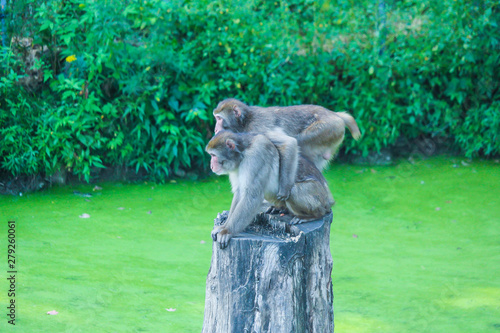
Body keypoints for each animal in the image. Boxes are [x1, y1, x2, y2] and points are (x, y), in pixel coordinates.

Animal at [205, 130, 334, 249]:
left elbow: (252, 196)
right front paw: (223, 226)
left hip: (318, 195)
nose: (211, 165)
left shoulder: (256, 155)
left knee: (293, 192)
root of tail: (329, 199)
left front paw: (228, 231)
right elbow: (240, 193)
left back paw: (314, 215)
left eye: (213, 155)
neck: (242, 154)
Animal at [213, 97, 362, 183]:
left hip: (328, 129)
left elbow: (288, 142)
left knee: (300, 143)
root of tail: (335, 115)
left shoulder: (258, 128)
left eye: (219, 118)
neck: (245, 122)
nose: (215, 129)